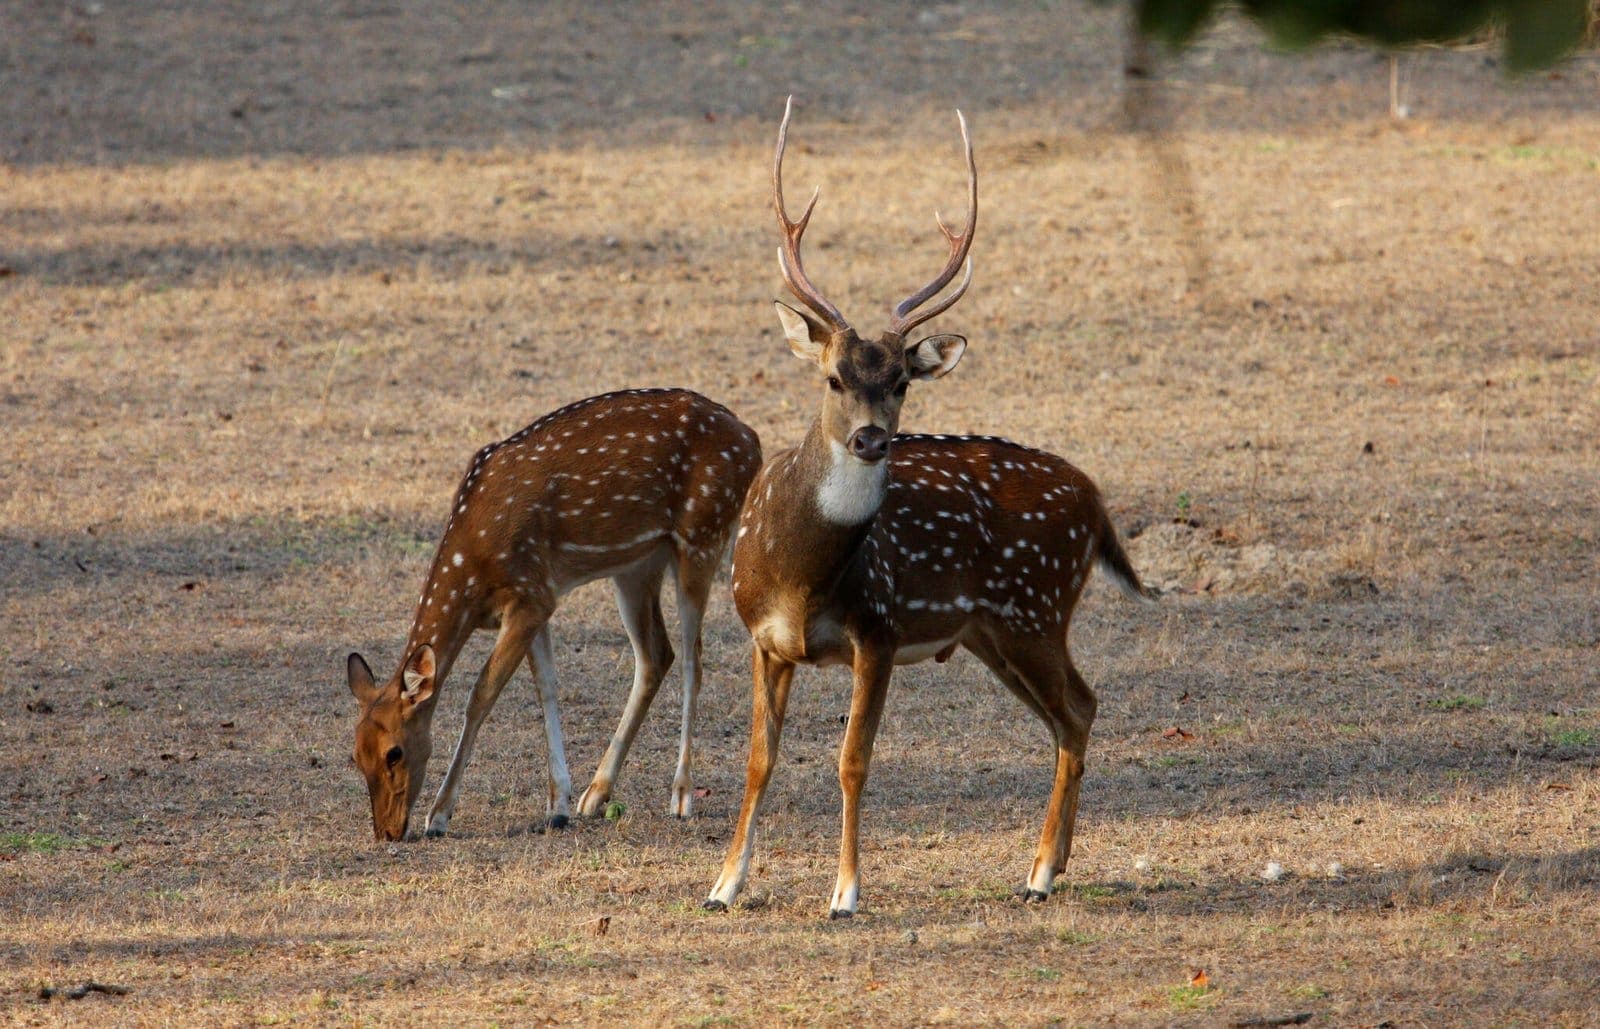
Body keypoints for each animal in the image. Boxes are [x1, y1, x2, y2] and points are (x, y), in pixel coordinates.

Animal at [347, 388, 762, 842]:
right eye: (355, 755)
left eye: (395, 752)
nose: (386, 831)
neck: (473, 570)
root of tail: (752, 441)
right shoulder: (538, 598)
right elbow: (545, 685)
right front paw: (558, 805)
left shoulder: (529, 595)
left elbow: (481, 695)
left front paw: (438, 815)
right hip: (636, 566)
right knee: (656, 654)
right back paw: (595, 795)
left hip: (702, 536)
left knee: (693, 660)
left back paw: (681, 794)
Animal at [703, 99, 1152, 918]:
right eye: (833, 376)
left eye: (902, 382)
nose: (871, 437)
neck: (799, 575)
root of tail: (1097, 501)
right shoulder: (761, 636)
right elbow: (758, 759)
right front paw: (722, 886)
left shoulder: (878, 628)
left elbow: (852, 761)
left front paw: (845, 893)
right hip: (990, 632)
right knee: (1073, 710)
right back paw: (1052, 864)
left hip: (1034, 607)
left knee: (1079, 706)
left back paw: (1040, 870)